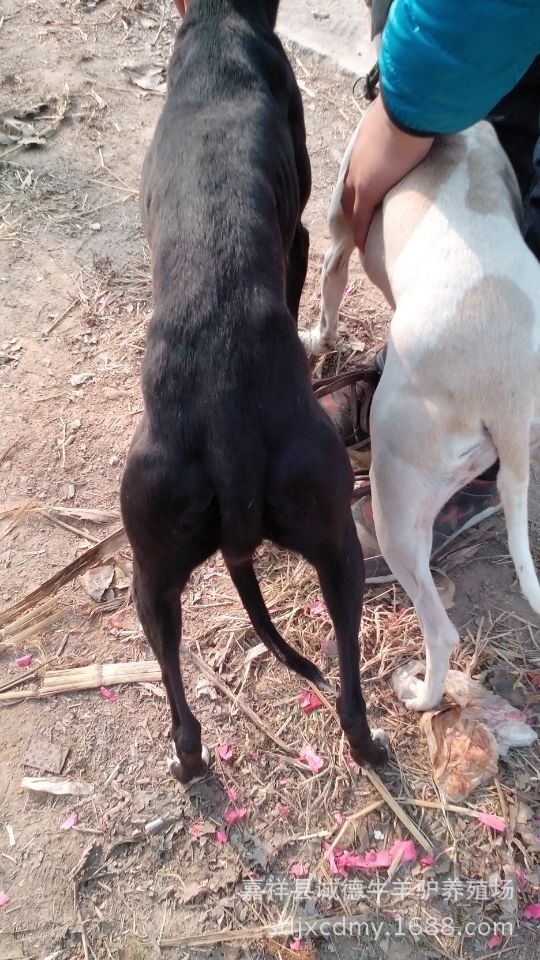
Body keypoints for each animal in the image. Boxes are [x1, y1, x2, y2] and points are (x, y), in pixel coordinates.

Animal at [120, 0, 386, 788]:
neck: (220, 23)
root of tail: (227, 422)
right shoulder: (297, 233)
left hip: (155, 568)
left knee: (182, 702)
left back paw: (191, 761)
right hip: (332, 534)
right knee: (347, 685)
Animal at [302, 26, 536, 712]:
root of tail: (507, 393)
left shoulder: (338, 236)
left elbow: (326, 304)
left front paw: (314, 339)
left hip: (397, 500)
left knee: (441, 629)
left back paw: (421, 697)